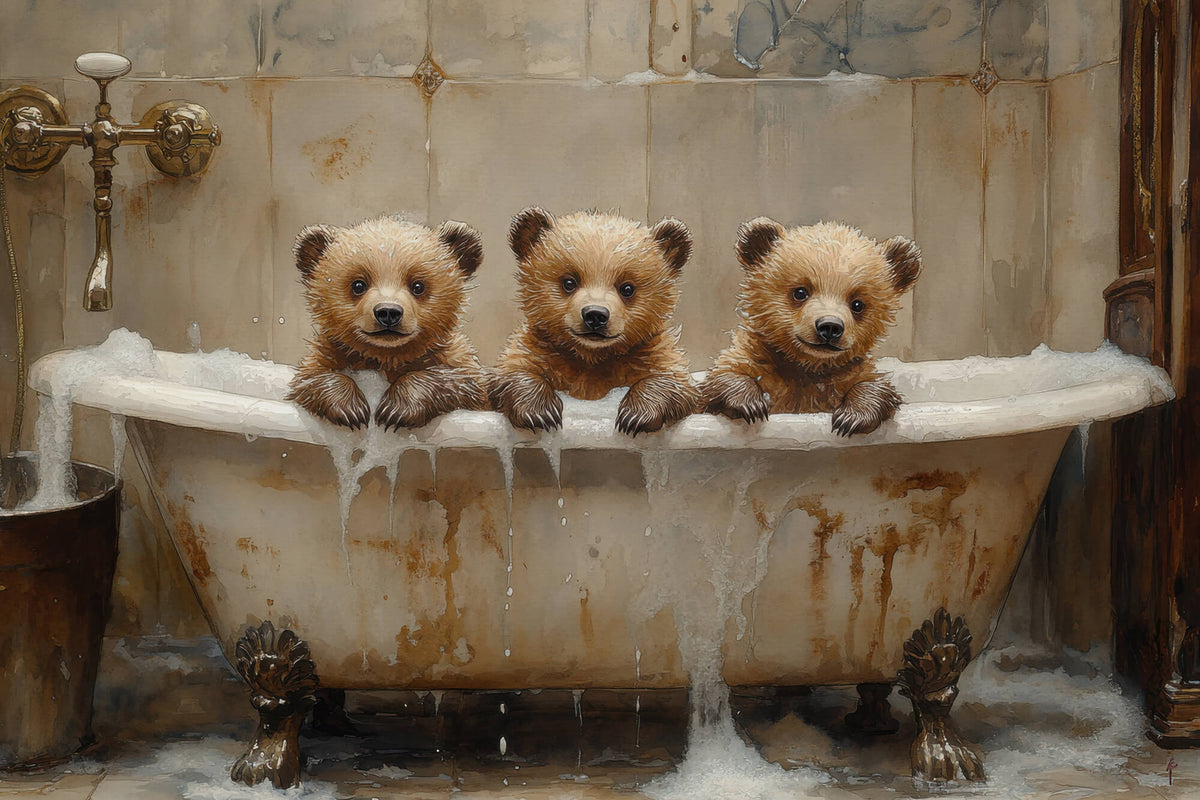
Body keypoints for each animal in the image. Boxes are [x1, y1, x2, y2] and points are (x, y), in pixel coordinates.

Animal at [286, 216, 488, 430]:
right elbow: (311, 378)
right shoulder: (330, 352)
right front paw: (351, 408)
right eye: (358, 284)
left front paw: (395, 409)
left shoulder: (451, 358)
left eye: (418, 285)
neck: (387, 356)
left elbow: (463, 380)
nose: (388, 312)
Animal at [488, 208, 700, 436]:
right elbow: (515, 369)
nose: (595, 315)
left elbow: (673, 380)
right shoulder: (541, 349)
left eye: (627, 288)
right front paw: (540, 412)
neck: (592, 357)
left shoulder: (649, 352)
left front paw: (636, 415)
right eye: (569, 282)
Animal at [700, 218, 921, 436]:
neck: (806, 365)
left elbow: (873, 385)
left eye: (857, 304)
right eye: (800, 292)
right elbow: (725, 375)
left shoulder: (847, 374)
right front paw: (750, 404)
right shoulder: (761, 361)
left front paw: (852, 417)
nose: (830, 326)